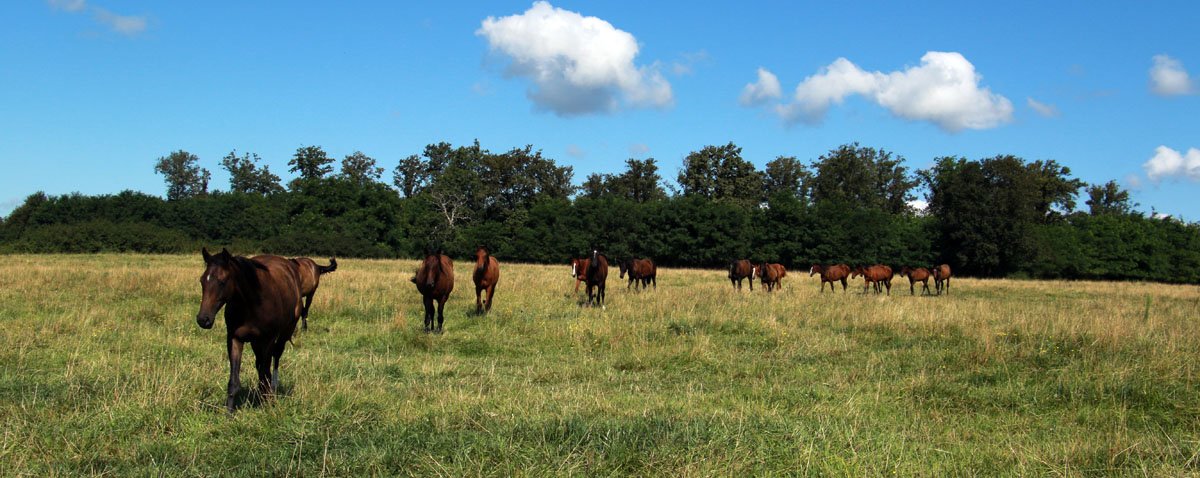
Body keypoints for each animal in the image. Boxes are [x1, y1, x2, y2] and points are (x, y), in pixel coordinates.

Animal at [196, 248, 302, 413]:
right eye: (202, 281)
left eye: (222, 281)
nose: (203, 319)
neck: (252, 304)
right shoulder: (235, 339)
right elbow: (234, 382)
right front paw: (229, 414)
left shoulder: (268, 340)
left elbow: (265, 372)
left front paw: (267, 405)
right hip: (255, 342)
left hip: (285, 332)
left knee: (275, 358)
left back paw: (272, 391)